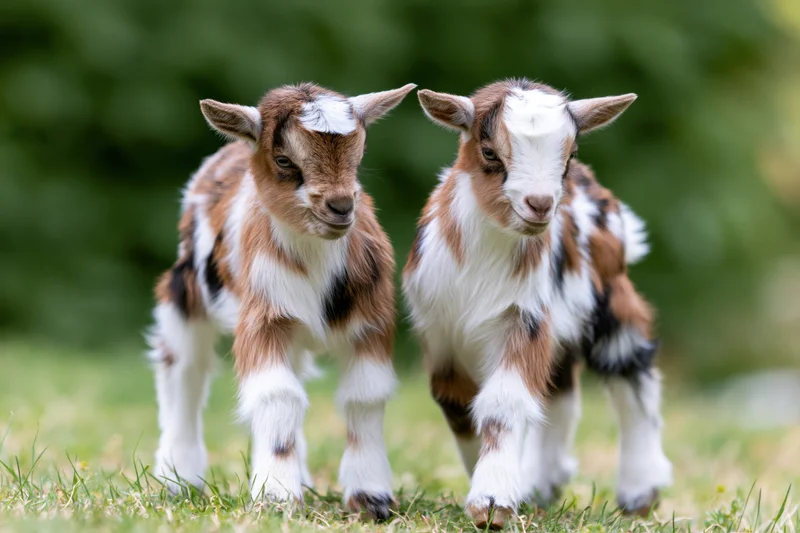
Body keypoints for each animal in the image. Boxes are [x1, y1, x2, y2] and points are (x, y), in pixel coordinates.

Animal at [147, 82, 415, 520]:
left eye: (358, 155)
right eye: (284, 159)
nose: (341, 206)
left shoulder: (371, 322)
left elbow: (365, 396)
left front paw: (371, 498)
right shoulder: (263, 318)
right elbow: (278, 395)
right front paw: (276, 496)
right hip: (184, 291)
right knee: (184, 368)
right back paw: (178, 479)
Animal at [403, 79, 672, 528]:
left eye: (569, 154)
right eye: (489, 151)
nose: (541, 203)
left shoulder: (524, 318)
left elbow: (503, 403)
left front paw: (492, 501)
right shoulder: (439, 333)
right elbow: (458, 404)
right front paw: (498, 486)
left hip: (611, 300)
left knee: (632, 374)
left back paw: (639, 491)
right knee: (561, 391)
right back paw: (543, 482)